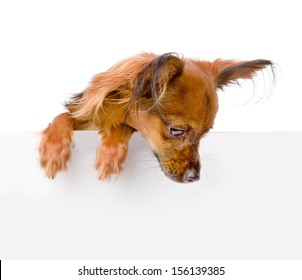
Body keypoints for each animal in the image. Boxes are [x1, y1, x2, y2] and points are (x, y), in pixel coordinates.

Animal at [38, 52, 274, 184]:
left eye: (205, 135)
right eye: (176, 131)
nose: (194, 178)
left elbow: (123, 127)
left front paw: (109, 153)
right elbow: (62, 117)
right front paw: (54, 149)